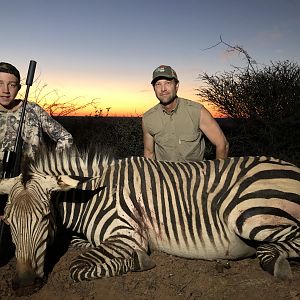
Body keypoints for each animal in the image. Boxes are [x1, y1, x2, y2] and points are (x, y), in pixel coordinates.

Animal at [0, 148, 300, 296]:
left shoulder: (128, 234)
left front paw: (139, 261)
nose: (24, 286)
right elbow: (76, 244)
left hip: (248, 214)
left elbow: (77, 268)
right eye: (8, 221)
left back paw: (274, 262)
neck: (92, 196)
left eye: (46, 217)